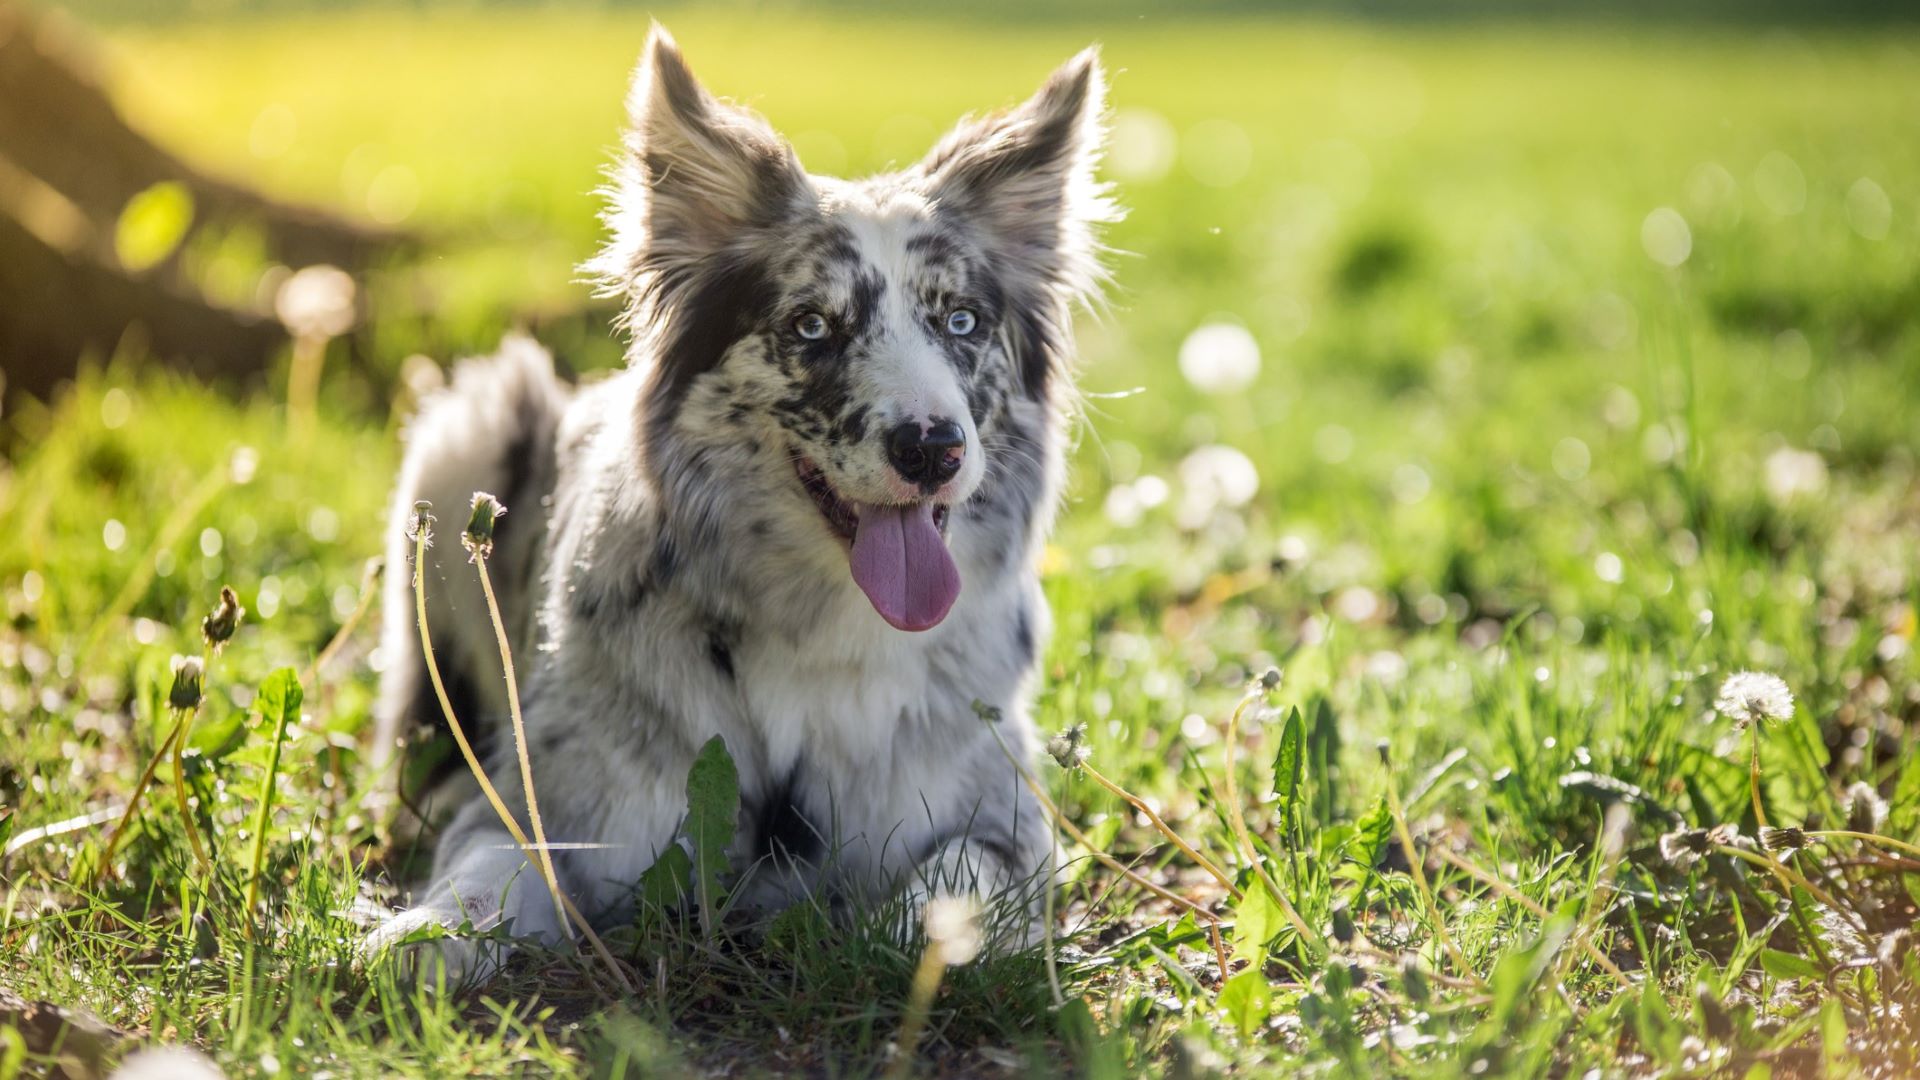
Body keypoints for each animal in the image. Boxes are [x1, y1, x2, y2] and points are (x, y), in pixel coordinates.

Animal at [366, 25, 1121, 976]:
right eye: (811, 326)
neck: (821, 629)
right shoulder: (556, 806)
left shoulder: (1012, 822)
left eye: (961, 323)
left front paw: (904, 939)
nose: (933, 449)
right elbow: (488, 866)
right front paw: (420, 936)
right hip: (466, 430)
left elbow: (958, 879)